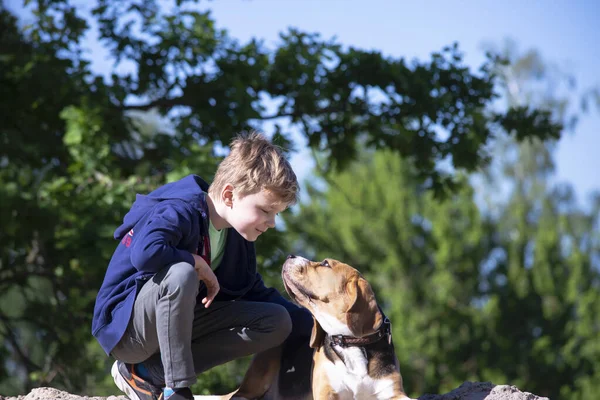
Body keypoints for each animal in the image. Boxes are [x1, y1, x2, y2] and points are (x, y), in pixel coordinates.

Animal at [197, 256, 412, 400]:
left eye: (325, 263)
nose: (290, 255)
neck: (350, 343)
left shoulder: (393, 393)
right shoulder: (327, 392)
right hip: (258, 375)